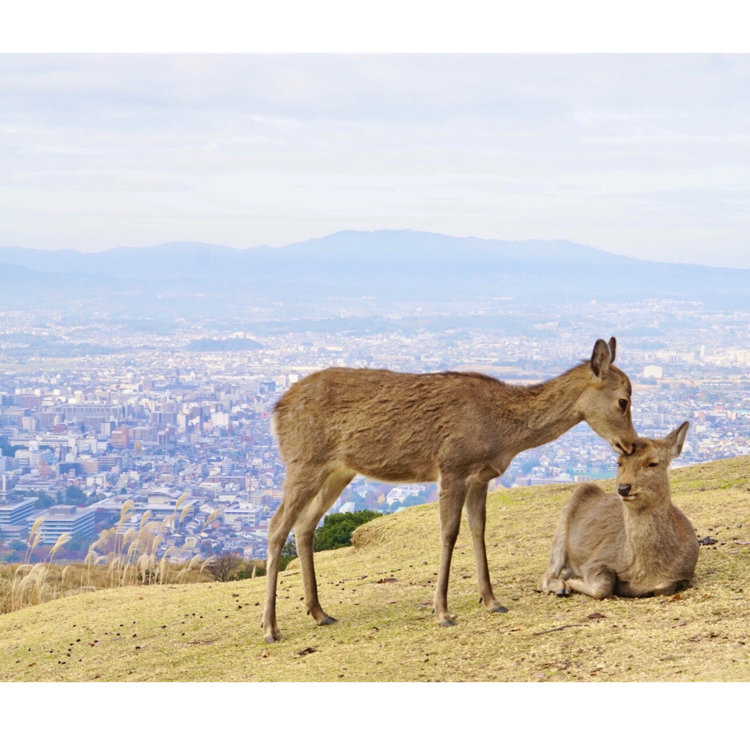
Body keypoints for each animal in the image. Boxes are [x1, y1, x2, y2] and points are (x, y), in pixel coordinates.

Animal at [262, 338, 636, 644]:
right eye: (623, 401)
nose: (631, 444)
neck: (503, 432)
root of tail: (277, 410)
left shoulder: (481, 477)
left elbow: (478, 530)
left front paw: (492, 601)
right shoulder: (452, 467)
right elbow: (449, 533)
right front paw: (442, 612)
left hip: (338, 471)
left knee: (304, 525)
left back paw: (320, 613)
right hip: (302, 462)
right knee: (276, 525)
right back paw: (271, 628)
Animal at [540, 420, 700, 604]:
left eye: (652, 463)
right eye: (619, 462)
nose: (623, 488)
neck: (645, 573)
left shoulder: (685, 573)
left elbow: (664, 587)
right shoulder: (596, 560)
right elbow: (603, 586)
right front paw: (573, 581)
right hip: (562, 528)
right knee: (546, 576)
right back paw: (561, 586)